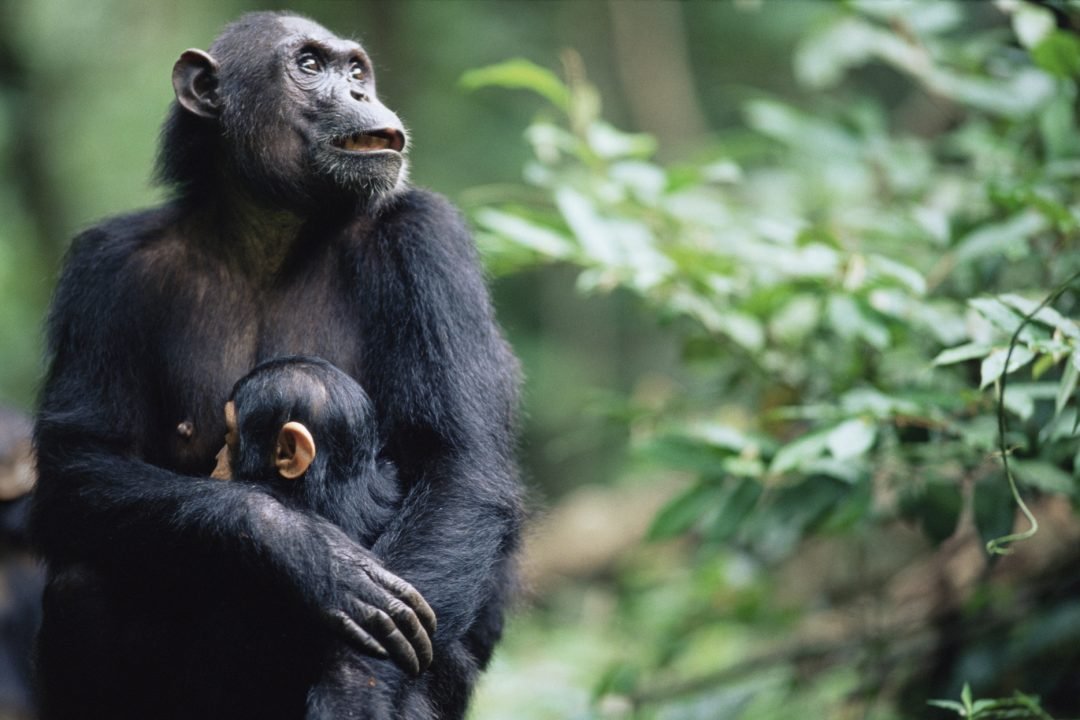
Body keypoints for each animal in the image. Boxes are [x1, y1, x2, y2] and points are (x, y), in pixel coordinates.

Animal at [31, 9, 520, 720]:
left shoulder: (430, 241)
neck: (269, 229)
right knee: (81, 583)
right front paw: (305, 553)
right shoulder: (104, 268)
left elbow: (459, 462)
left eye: (355, 69)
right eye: (309, 66)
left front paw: (353, 684)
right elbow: (80, 458)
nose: (360, 92)